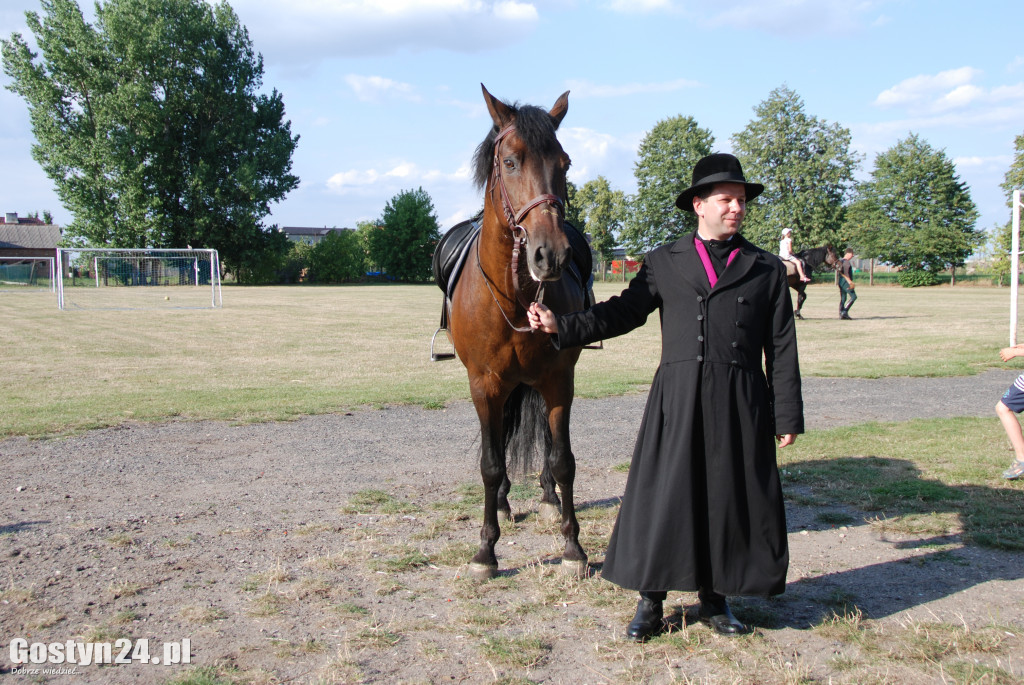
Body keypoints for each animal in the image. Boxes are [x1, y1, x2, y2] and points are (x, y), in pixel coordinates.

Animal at [444, 83, 589, 577]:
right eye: (509, 162)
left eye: (564, 163)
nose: (552, 254)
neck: (514, 296)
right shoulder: (484, 384)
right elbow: (490, 464)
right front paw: (486, 550)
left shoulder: (559, 381)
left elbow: (563, 461)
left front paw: (572, 547)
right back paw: (505, 503)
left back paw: (546, 498)